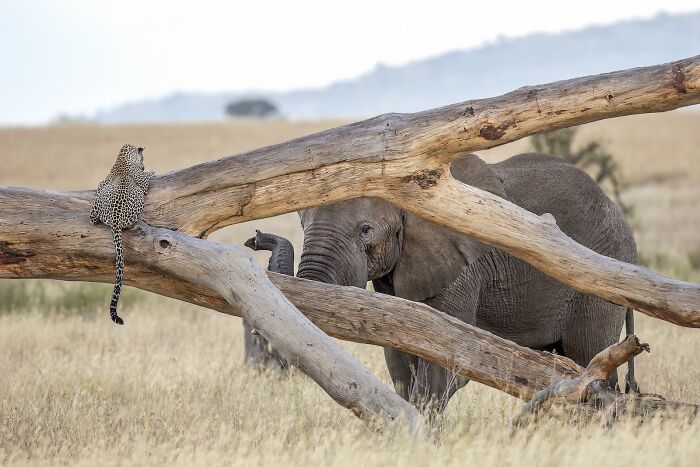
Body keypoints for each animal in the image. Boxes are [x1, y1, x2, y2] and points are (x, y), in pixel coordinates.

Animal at [90, 144, 155, 325]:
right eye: (143, 158)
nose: (144, 166)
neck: (122, 159)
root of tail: (115, 220)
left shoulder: (101, 183)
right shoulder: (143, 183)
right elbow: (147, 178)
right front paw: (152, 171)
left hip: (97, 204)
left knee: (92, 218)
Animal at [281, 152, 639, 413]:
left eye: (365, 230)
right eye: (301, 223)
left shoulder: (460, 268)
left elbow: (445, 362)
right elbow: (399, 361)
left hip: (597, 281)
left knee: (588, 360)